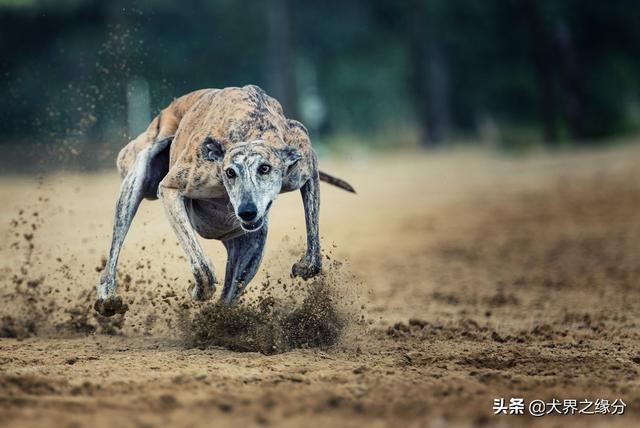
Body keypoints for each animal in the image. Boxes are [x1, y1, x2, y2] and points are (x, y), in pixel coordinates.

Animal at [94, 85, 356, 316]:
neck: (253, 129)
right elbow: (202, 267)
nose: (247, 212)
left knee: (230, 292)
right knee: (116, 244)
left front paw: (304, 266)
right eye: (230, 172)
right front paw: (199, 289)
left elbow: (314, 249)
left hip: (250, 248)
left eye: (265, 168)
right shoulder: (171, 188)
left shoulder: (306, 168)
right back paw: (107, 296)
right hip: (137, 178)